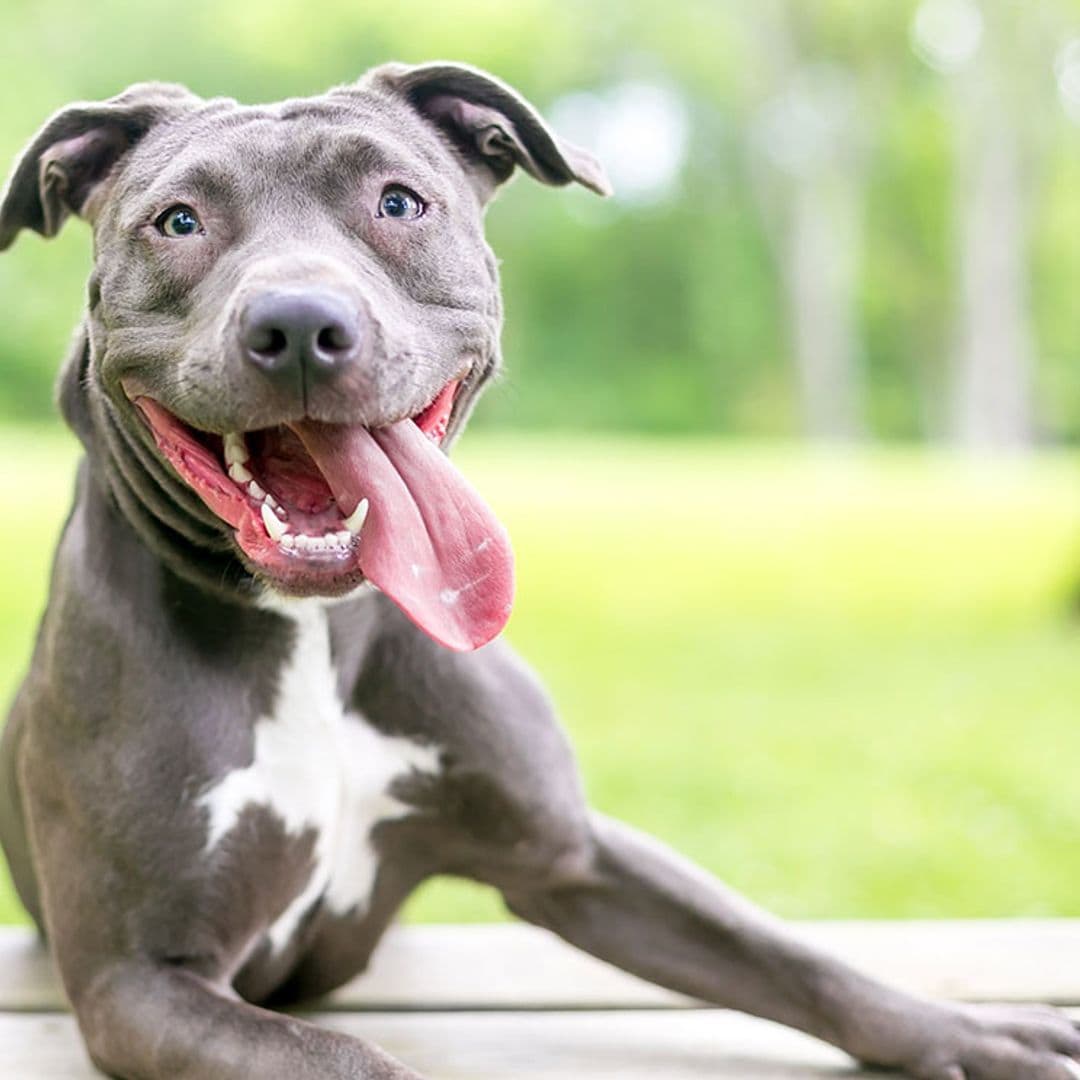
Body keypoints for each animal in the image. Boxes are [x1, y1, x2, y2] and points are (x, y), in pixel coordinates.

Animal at [2, 63, 1080, 1080]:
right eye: (179, 221)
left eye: (399, 202)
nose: (301, 324)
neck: (316, 632)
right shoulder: (139, 981)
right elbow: (349, 1057)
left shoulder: (573, 857)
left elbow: (790, 957)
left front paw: (975, 1031)